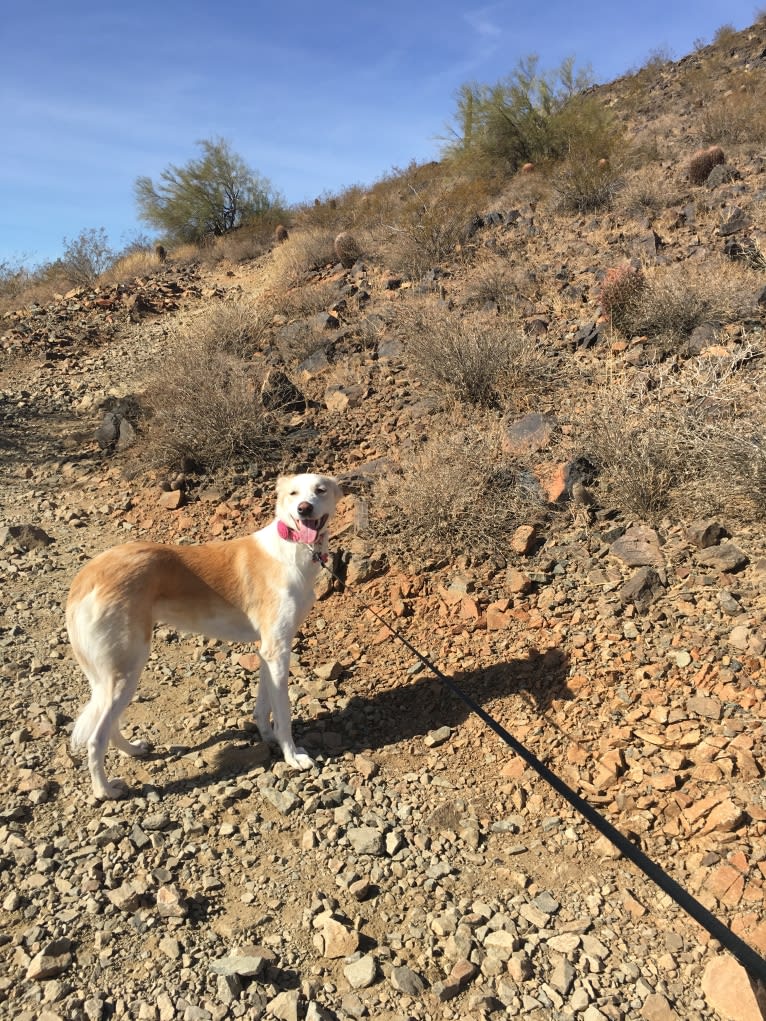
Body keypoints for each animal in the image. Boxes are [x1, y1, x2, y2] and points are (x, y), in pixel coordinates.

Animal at [67, 469, 343, 796]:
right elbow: (284, 714)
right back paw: (105, 791)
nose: (304, 509)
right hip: (128, 667)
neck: (291, 549)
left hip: (114, 673)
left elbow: (263, 706)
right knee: (96, 737)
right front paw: (292, 756)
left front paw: (268, 737)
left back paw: (132, 750)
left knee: (108, 724)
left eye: (320, 490)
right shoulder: (278, 651)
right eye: (293, 494)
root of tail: (86, 576)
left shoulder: (268, 650)